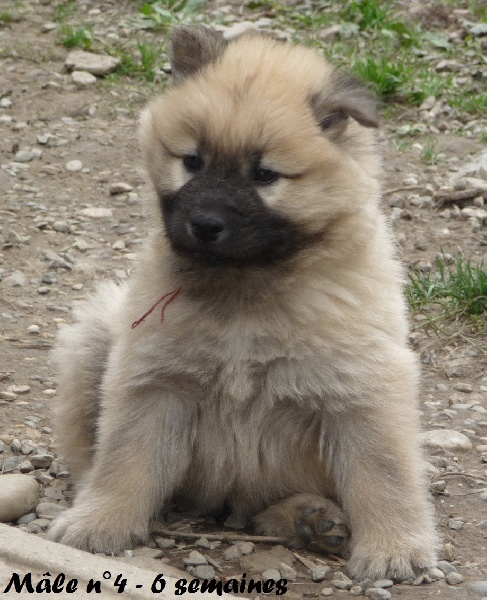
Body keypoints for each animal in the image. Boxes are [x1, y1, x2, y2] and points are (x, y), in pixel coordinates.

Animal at [49, 25, 437, 581]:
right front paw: (99, 521)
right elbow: (125, 459)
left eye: (265, 175)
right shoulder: (154, 379)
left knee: (267, 506)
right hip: (94, 340)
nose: (205, 224)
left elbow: (384, 474)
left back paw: (309, 518)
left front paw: (394, 547)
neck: (247, 286)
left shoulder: (363, 388)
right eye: (192, 161)